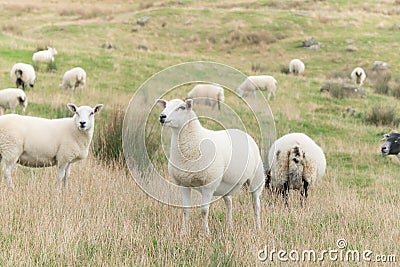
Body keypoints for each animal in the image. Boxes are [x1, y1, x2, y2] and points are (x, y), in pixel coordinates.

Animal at [157, 99, 266, 237]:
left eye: (181, 107)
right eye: (165, 106)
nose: (162, 116)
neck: (195, 139)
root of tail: (243, 132)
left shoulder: (208, 184)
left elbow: (204, 210)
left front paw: (205, 234)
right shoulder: (183, 183)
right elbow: (185, 210)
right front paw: (183, 232)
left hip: (256, 179)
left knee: (256, 205)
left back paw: (258, 228)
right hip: (227, 185)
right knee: (229, 203)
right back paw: (229, 227)